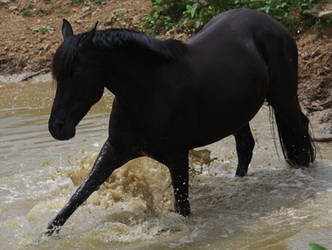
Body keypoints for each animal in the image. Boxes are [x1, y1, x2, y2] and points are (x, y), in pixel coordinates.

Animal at [45, 7, 316, 234]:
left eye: (77, 73)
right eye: (57, 75)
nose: (57, 127)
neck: (149, 91)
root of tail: (272, 23)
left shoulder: (177, 158)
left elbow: (182, 209)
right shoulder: (115, 149)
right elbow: (81, 193)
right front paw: (48, 233)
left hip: (283, 97)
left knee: (299, 129)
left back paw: (306, 176)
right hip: (239, 114)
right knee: (246, 146)